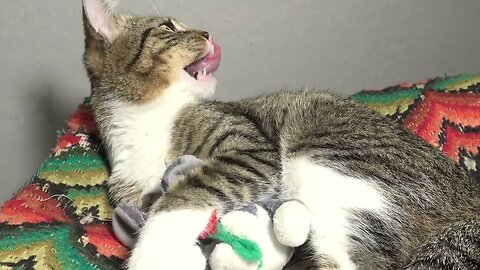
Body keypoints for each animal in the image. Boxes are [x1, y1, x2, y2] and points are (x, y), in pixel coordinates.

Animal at [81, 0, 480, 270]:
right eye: (167, 25)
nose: (208, 33)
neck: (149, 117)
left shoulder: (252, 148)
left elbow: (186, 193)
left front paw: (153, 252)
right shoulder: (131, 192)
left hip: (322, 150)